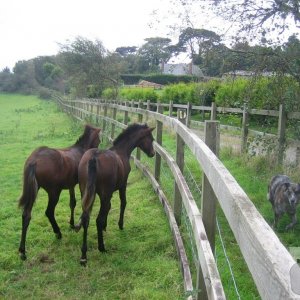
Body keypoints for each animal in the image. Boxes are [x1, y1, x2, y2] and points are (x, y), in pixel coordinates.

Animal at [18, 124, 101, 260]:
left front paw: (72, 224)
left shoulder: (71, 185)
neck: (80, 150)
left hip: (34, 190)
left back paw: (22, 251)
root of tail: (34, 160)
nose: (97, 150)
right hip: (54, 192)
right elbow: (79, 203)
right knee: (49, 212)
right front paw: (75, 224)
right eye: (99, 140)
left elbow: (72, 202)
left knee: (26, 215)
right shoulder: (81, 185)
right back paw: (58, 233)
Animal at [75, 123, 155, 264]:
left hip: (85, 192)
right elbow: (123, 203)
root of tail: (94, 158)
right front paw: (120, 225)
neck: (122, 151)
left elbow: (108, 207)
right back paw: (102, 247)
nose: (153, 153)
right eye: (151, 139)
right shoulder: (122, 186)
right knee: (97, 219)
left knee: (86, 218)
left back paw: (84, 255)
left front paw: (105, 226)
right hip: (103, 193)